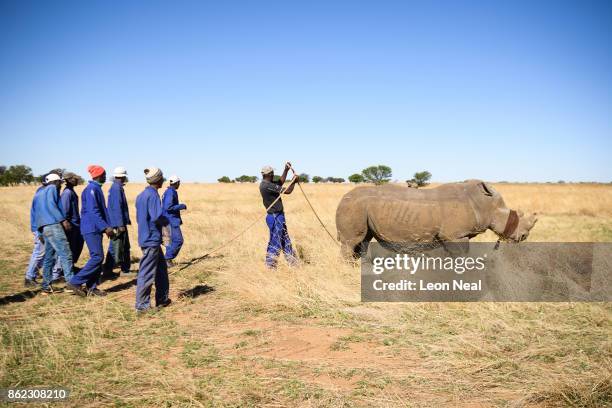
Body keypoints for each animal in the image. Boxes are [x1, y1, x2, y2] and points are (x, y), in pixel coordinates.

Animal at [334, 179, 536, 258]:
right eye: (513, 217)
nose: (524, 237)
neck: (485, 204)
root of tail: (343, 197)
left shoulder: (451, 236)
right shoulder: (455, 235)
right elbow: (462, 256)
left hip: (361, 209)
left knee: (364, 240)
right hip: (353, 207)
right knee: (352, 241)